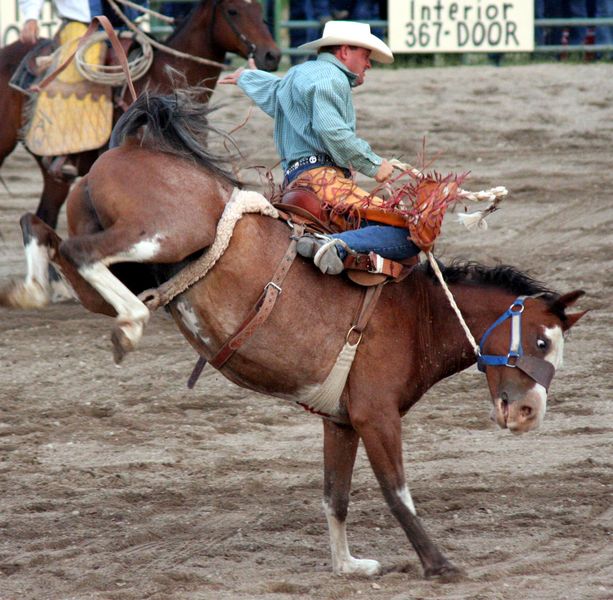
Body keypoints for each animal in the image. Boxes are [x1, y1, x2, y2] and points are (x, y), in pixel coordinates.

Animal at [5, 91, 588, 580]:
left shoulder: (342, 420)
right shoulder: (377, 414)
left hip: (117, 258)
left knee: (46, 234)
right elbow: (397, 492)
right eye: (542, 342)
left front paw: (347, 565)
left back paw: (33, 292)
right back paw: (127, 325)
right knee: (79, 251)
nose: (529, 413)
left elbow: (336, 494)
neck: (419, 312)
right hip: (162, 234)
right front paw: (439, 563)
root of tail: (130, 145)